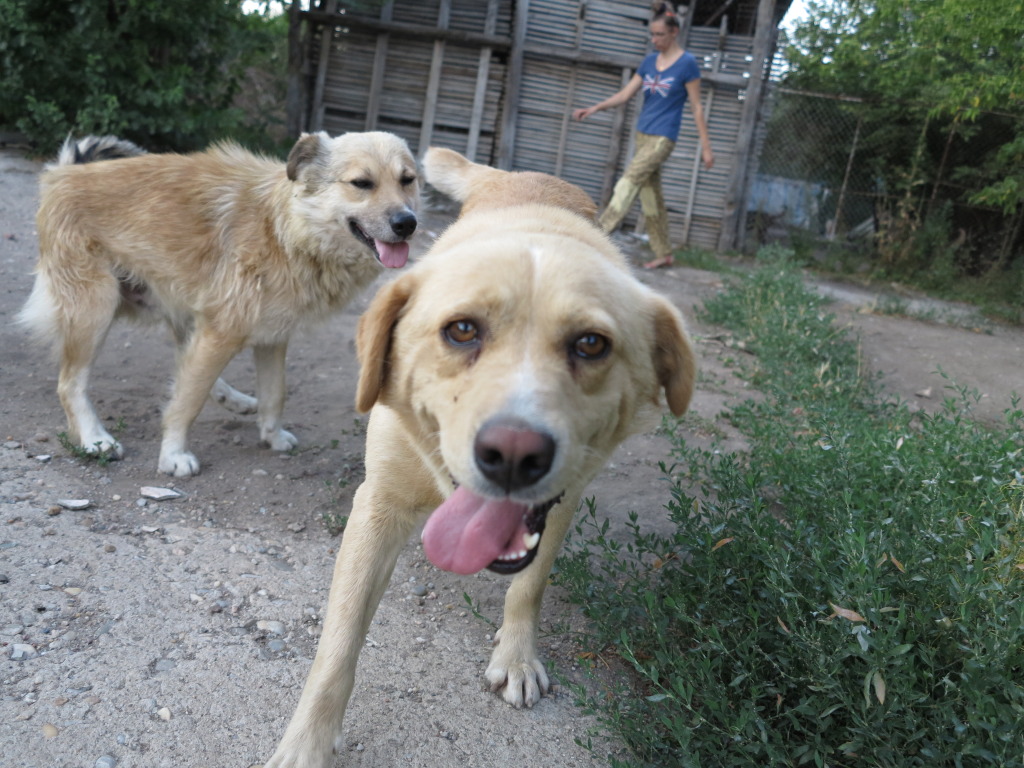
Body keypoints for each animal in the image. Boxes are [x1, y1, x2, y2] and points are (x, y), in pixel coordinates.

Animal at [19, 135, 419, 479]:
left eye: (407, 180)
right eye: (361, 183)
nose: (408, 223)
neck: (285, 229)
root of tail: (62, 173)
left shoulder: (271, 335)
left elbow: (274, 393)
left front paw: (272, 435)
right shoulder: (222, 330)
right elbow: (188, 401)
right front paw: (174, 454)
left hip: (179, 306)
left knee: (186, 363)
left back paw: (233, 398)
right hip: (94, 310)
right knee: (70, 384)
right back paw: (94, 438)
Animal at [264, 147, 696, 765]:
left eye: (591, 344)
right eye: (462, 330)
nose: (513, 454)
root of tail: (524, 176)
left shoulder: (561, 505)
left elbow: (530, 585)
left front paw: (515, 655)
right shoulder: (377, 507)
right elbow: (338, 646)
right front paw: (306, 745)